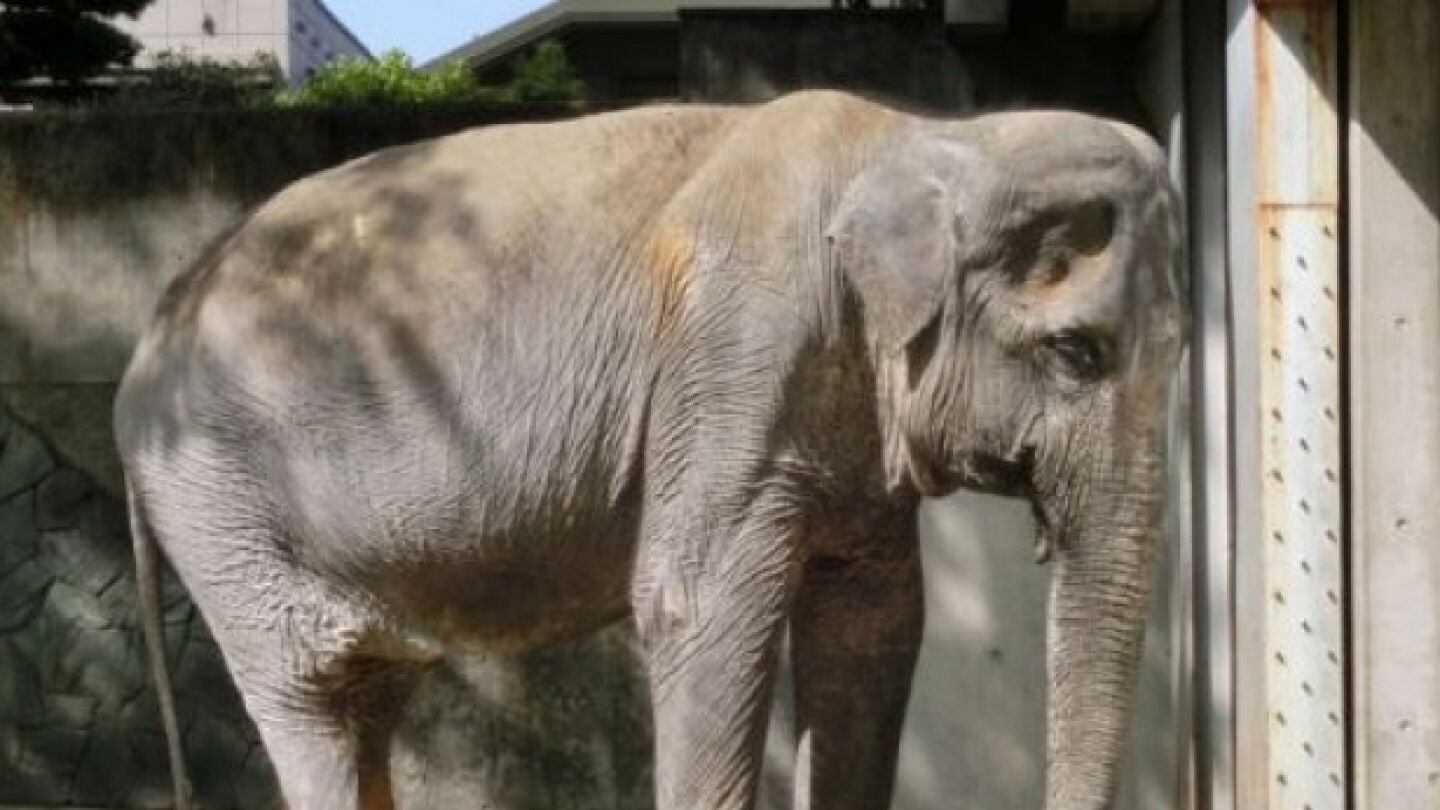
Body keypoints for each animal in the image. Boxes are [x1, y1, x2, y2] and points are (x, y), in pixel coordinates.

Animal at [115, 90, 1185, 810]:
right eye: (1076, 352)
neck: (924, 135)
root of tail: (150, 334)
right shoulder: (732, 356)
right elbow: (699, 610)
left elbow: (874, 627)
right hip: (217, 504)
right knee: (309, 692)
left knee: (363, 701)